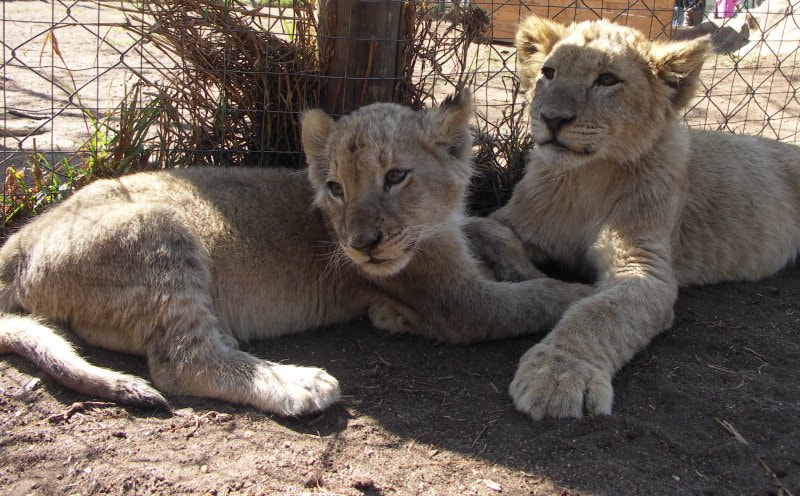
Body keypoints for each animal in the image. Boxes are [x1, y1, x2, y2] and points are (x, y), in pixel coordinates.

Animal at [0, 93, 590, 416]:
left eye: (396, 176)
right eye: (336, 189)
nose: (360, 245)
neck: (433, 223)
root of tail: (19, 242)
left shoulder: (456, 238)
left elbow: (491, 231)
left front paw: (516, 257)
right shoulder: (453, 301)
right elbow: (534, 298)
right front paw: (584, 292)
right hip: (158, 231)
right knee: (182, 361)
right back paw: (298, 383)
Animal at [466, 16, 800, 420]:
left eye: (607, 79)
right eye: (548, 72)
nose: (551, 119)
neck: (586, 177)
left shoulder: (645, 265)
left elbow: (600, 313)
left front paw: (558, 373)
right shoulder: (511, 221)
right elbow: (482, 227)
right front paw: (527, 276)